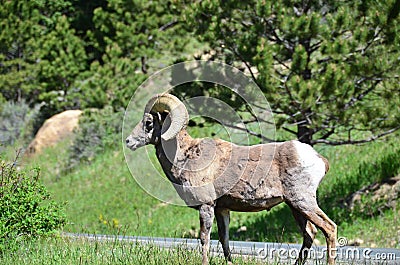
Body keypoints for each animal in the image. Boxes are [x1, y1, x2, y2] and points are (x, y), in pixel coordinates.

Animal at [126, 93, 338, 264]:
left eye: (149, 123)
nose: (128, 141)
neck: (186, 156)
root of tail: (319, 159)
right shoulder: (222, 209)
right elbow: (224, 239)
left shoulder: (206, 206)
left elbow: (204, 238)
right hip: (294, 206)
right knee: (309, 233)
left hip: (303, 202)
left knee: (329, 228)